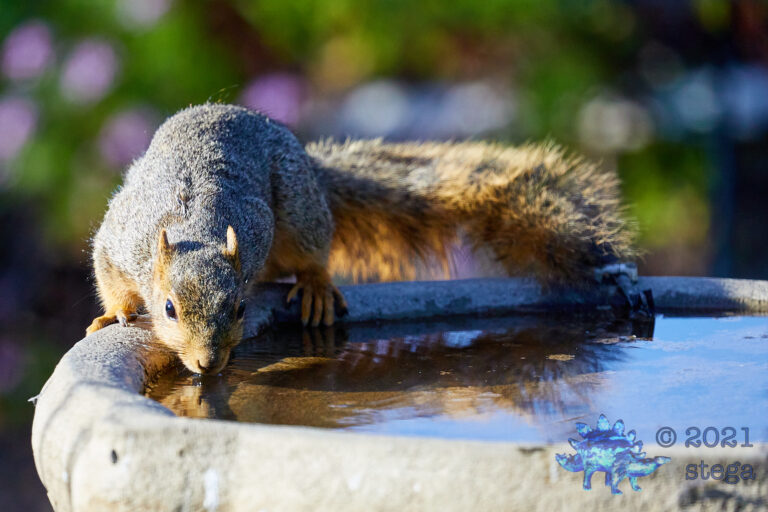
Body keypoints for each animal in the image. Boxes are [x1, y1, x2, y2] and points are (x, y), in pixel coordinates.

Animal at [87, 103, 636, 374]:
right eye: (168, 310)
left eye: (240, 309)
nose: (208, 363)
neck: (194, 229)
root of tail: (309, 162)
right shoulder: (121, 240)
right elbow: (108, 274)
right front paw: (114, 314)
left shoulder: (258, 228)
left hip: (298, 210)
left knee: (311, 253)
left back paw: (315, 288)